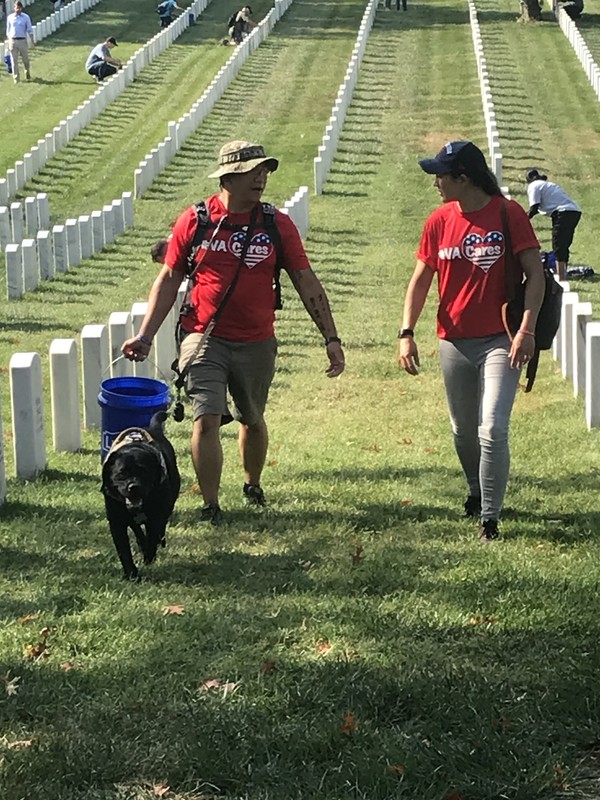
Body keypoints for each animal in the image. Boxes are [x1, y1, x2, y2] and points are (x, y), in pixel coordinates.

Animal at [102, 412, 180, 576]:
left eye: (144, 472)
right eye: (121, 474)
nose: (133, 487)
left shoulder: (156, 516)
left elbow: (153, 536)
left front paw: (149, 558)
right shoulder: (116, 521)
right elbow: (124, 549)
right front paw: (131, 574)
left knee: (161, 526)